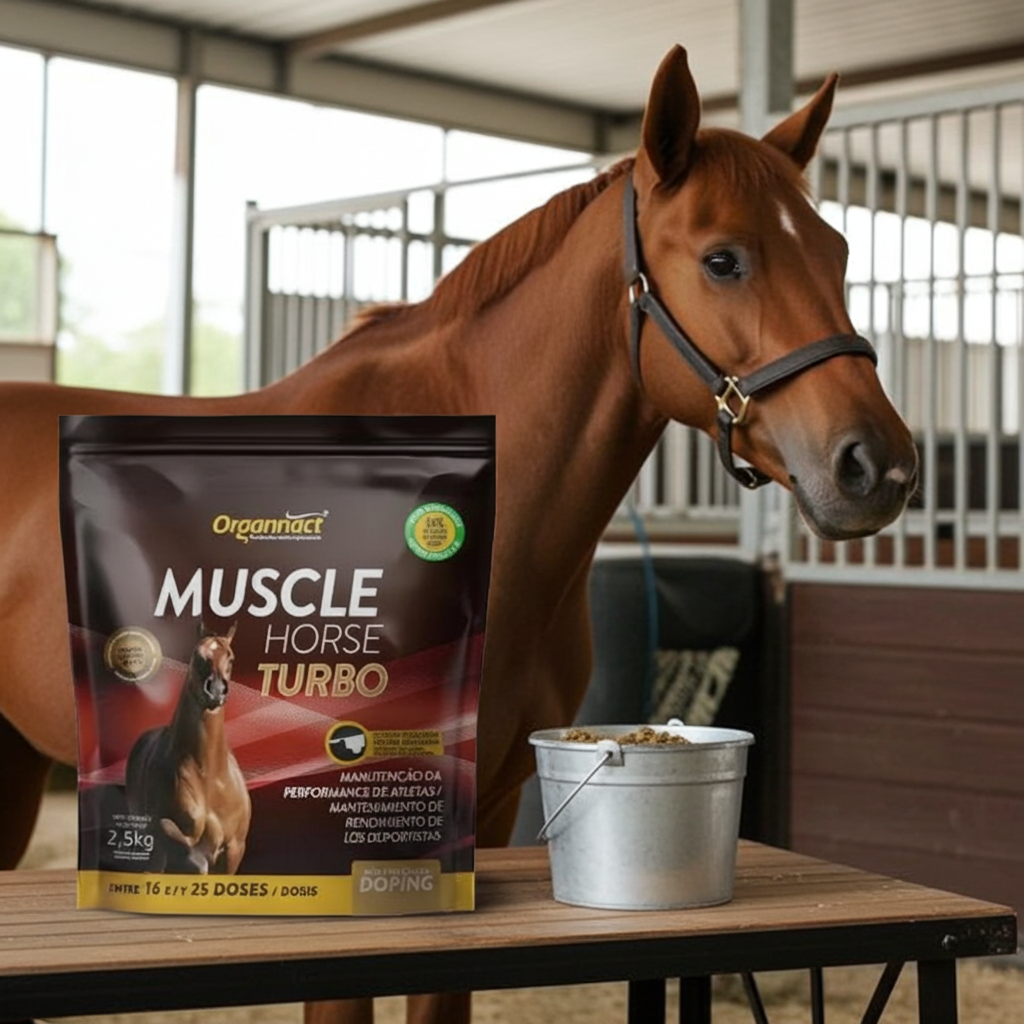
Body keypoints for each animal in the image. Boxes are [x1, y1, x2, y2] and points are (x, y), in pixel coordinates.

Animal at [124, 623, 250, 875]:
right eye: (197, 655)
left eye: (230, 658)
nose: (216, 690)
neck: (209, 776)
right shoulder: (168, 832)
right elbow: (176, 836)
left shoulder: (234, 849)